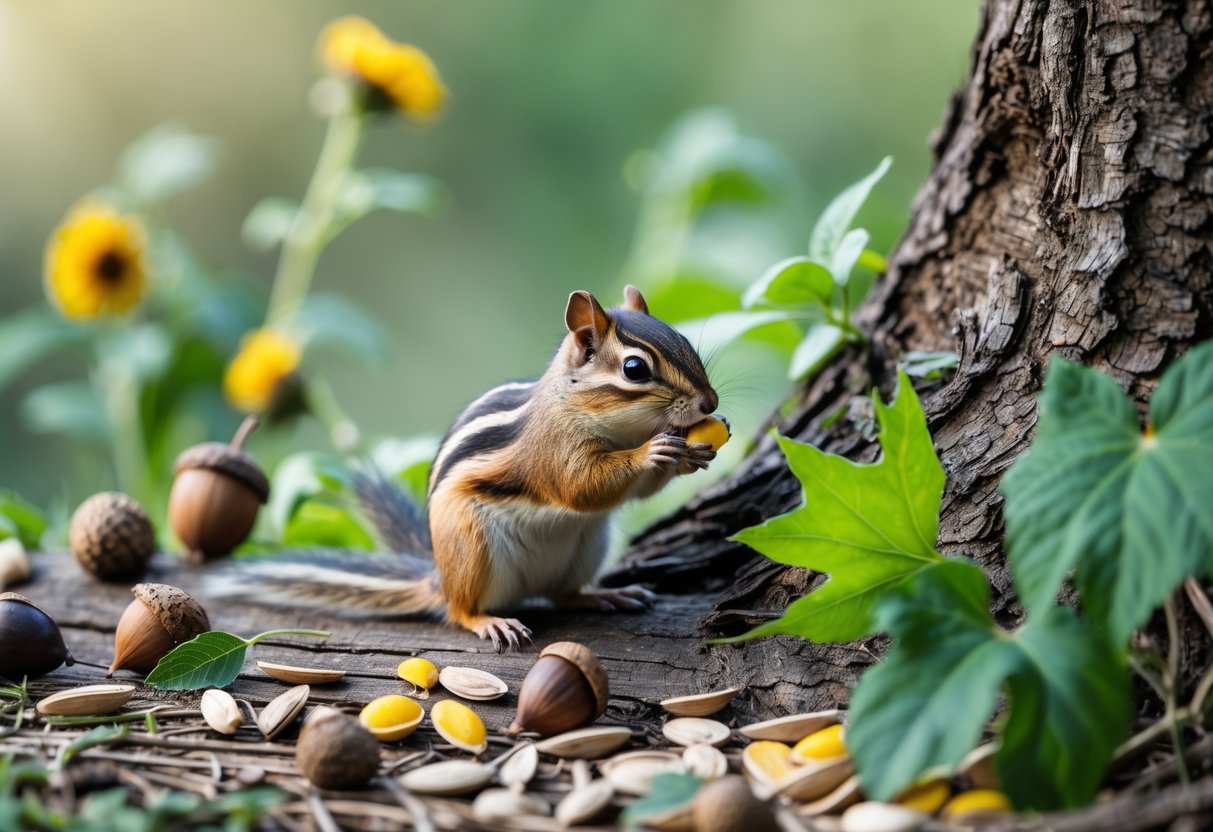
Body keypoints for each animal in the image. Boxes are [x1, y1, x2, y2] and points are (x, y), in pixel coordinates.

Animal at [210, 286, 721, 651]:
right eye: (635, 369)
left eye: (683, 340)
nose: (710, 403)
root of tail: (438, 579)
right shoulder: (552, 452)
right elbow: (581, 487)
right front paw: (654, 451)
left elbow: (635, 492)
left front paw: (692, 455)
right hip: (469, 544)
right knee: (460, 612)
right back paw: (490, 621)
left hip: (587, 546)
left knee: (562, 594)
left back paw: (604, 594)